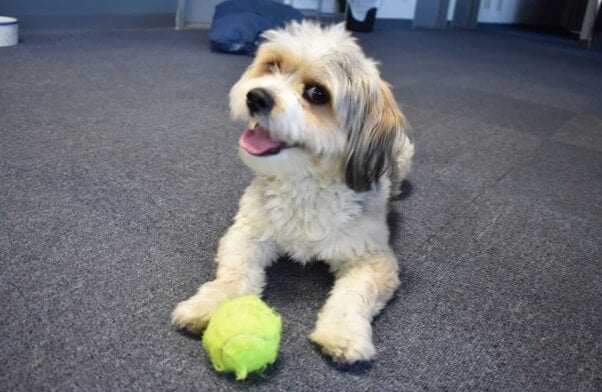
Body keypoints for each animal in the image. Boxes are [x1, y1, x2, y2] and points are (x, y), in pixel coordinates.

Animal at [171, 20, 410, 364]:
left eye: (316, 93)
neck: (304, 182)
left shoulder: (374, 260)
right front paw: (209, 303)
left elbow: (353, 296)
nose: (256, 97)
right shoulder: (247, 232)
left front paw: (343, 333)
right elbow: (232, 274)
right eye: (272, 66)